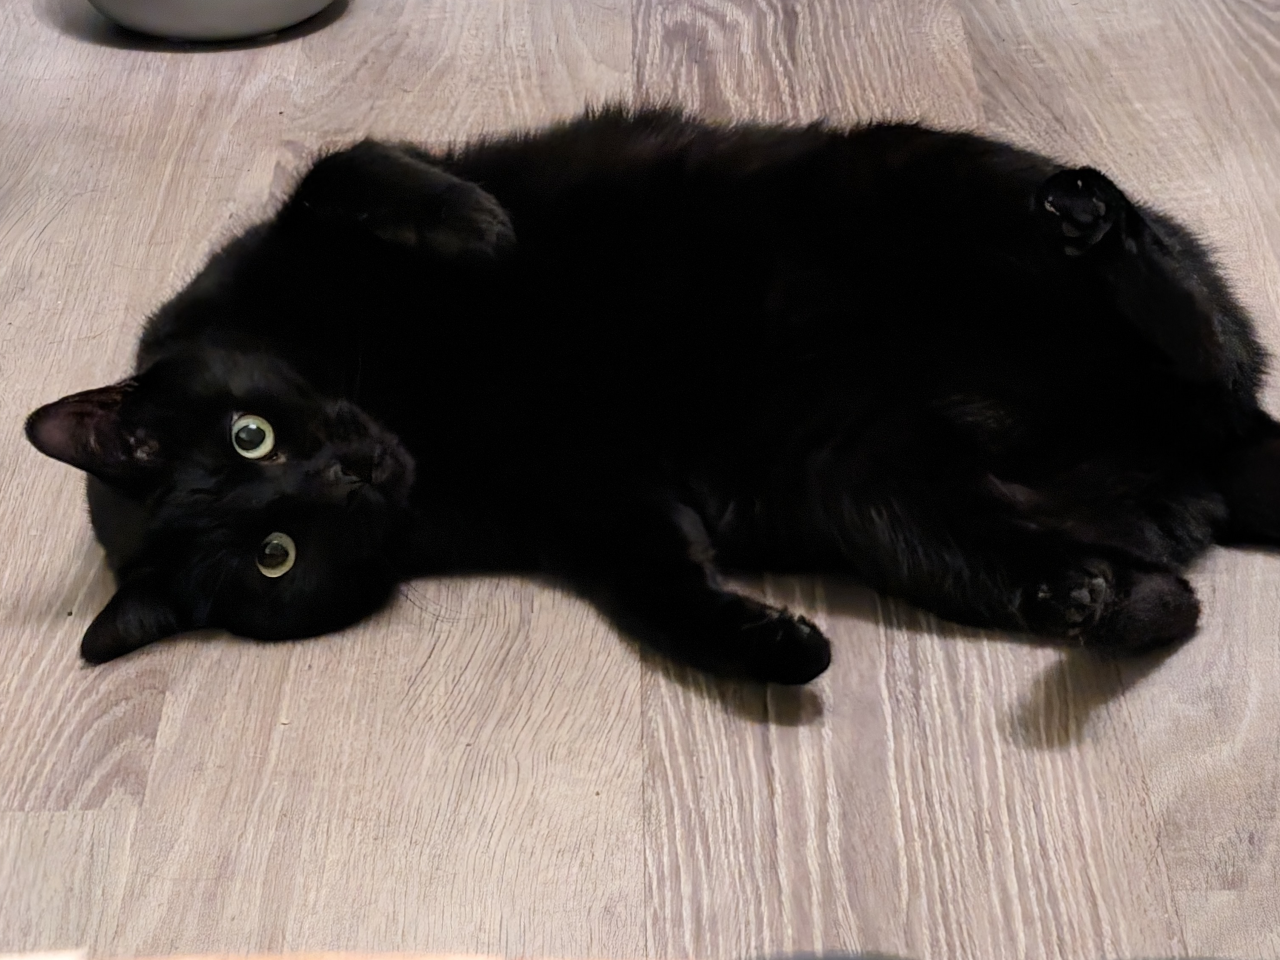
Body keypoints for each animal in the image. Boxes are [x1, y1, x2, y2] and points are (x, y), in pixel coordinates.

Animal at [24, 110, 1280, 686]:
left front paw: (476, 225)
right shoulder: (589, 503)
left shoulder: (290, 232)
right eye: (275, 554)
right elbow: (657, 590)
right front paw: (768, 648)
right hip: (890, 501)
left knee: (1203, 333)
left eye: (252, 434)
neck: (413, 416)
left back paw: (1094, 224)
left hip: (939, 186)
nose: (345, 472)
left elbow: (347, 167)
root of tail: (1208, 461)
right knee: (1165, 596)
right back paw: (1089, 602)